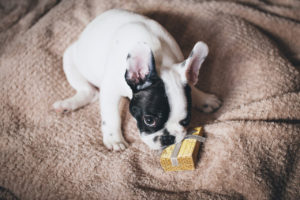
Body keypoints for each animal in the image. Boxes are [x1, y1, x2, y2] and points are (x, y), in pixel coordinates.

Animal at [52, 8, 221, 151]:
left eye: (186, 120)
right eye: (149, 120)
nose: (168, 139)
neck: (161, 62)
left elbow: (191, 84)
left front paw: (204, 98)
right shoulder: (110, 90)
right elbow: (111, 116)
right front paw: (114, 139)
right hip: (70, 58)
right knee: (89, 92)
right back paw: (67, 105)